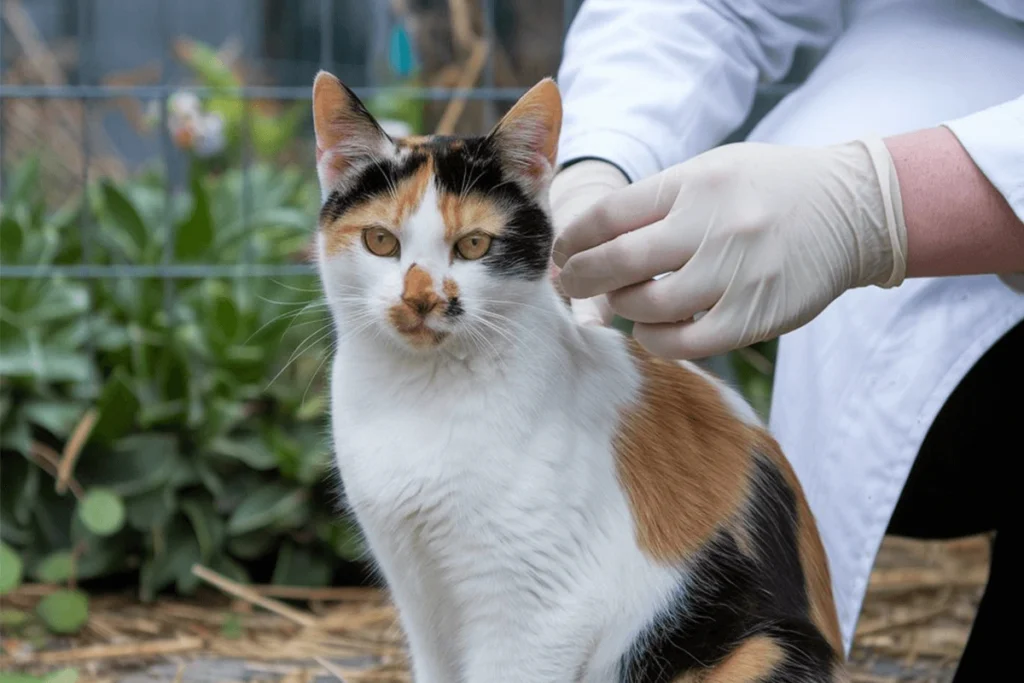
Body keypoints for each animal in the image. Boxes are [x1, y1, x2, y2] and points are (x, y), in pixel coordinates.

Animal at [309, 70, 847, 683]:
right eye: (380, 241)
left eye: (474, 245)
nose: (421, 299)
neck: (420, 397)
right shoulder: (419, 593)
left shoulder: (541, 611)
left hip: (757, 647)